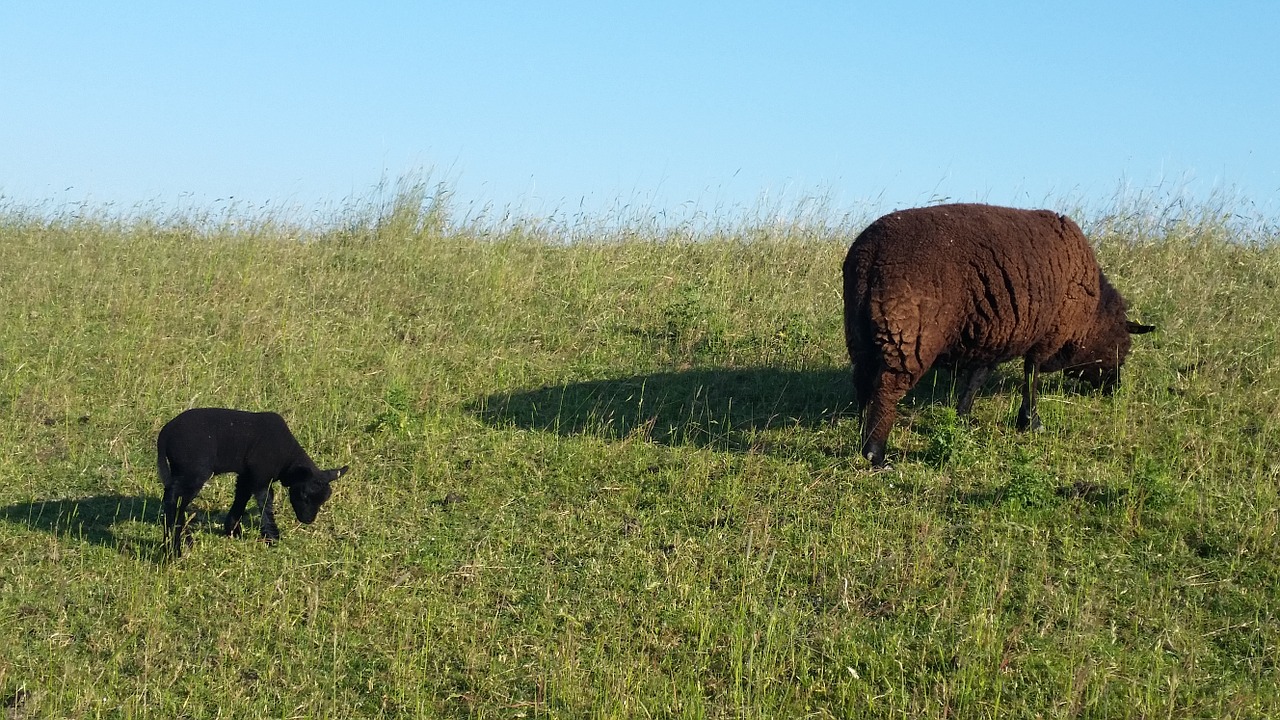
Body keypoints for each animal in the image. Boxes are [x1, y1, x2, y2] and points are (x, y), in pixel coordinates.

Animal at [159, 407, 350, 550]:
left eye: (324, 500)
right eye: (304, 496)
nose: (308, 520)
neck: (287, 459)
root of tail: (165, 433)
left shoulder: (247, 475)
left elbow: (241, 497)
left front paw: (233, 530)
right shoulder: (261, 475)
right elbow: (265, 503)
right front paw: (272, 538)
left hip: (181, 470)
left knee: (175, 497)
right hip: (193, 471)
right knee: (174, 498)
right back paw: (176, 541)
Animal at [844, 203, 1157, 466]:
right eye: (1123, 346)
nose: (1115, 388)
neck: (1090, 318)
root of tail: (870, 255)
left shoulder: (994, 335)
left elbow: (977, 379)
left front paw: (963, 416)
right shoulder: (1047, 335)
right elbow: (1031, 374)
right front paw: (1031, 421)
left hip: (860, 330)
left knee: (863, 382)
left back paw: (861, 435)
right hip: (909, 334)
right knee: (887, 388)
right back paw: (876, 453)